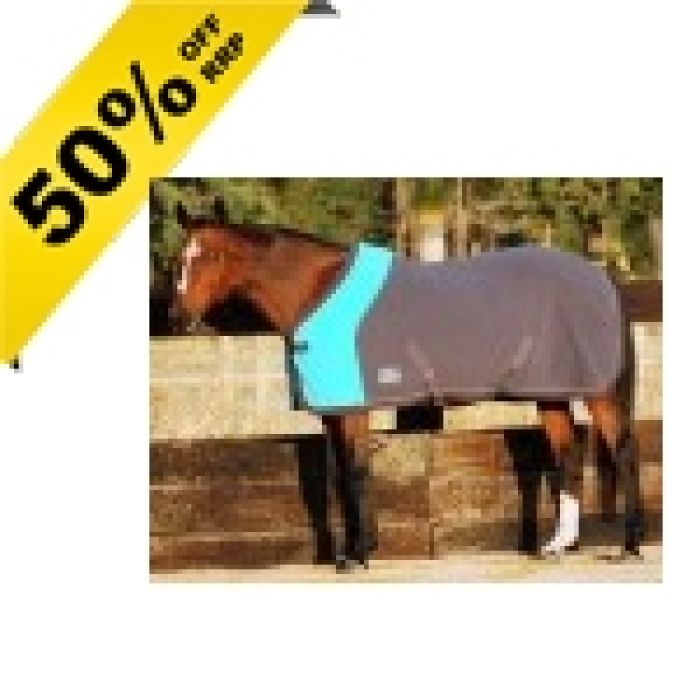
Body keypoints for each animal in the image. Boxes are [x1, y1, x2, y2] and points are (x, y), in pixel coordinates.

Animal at [170, 198, 643, 570]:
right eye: (180, 257)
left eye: (211, 256)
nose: (176, 317)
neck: (319, 293)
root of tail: (600, 278)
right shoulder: (333, 412)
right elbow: (339, 476)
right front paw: (356, 549)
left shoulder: (354, 408)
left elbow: (356, 471)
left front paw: (358, 555)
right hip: (550, 392)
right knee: (568, 451)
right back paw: (558, 546)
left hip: (598, 390)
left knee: (622, 450)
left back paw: (630, 546)